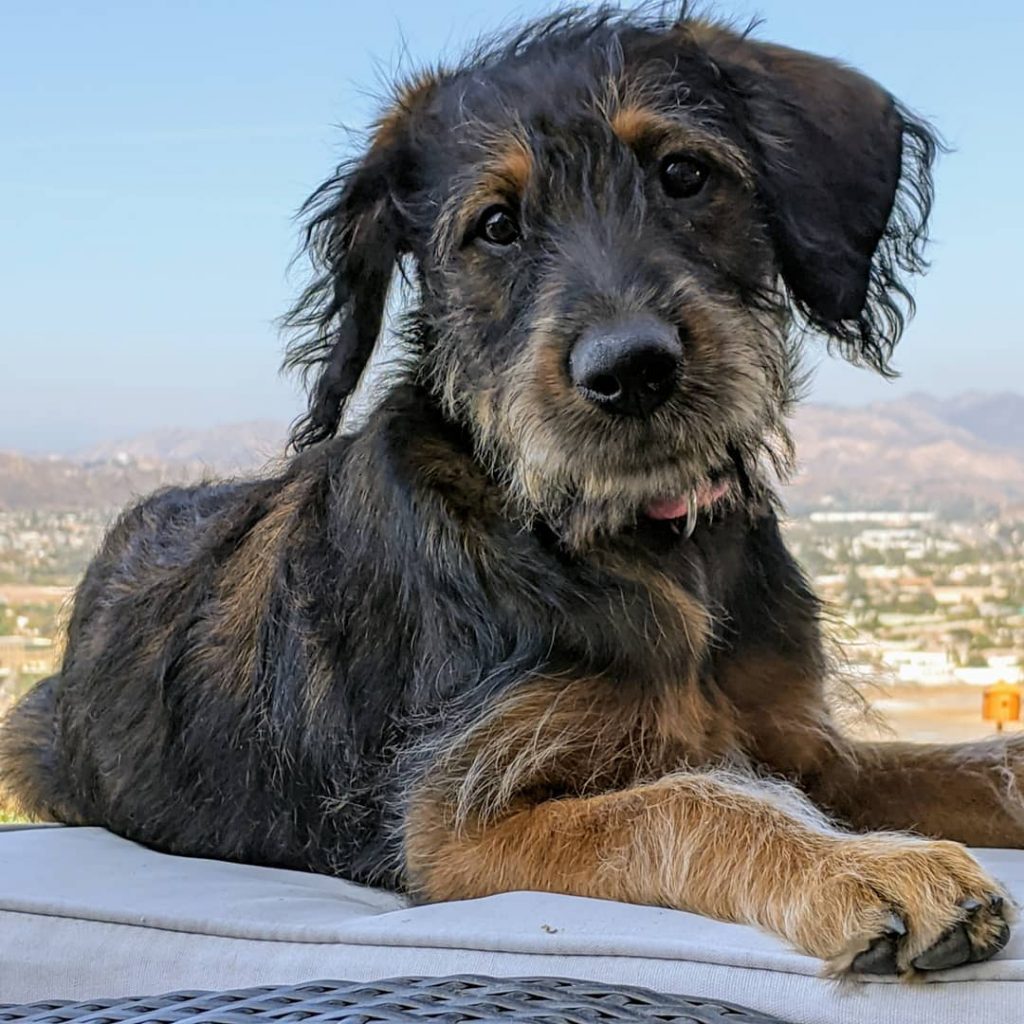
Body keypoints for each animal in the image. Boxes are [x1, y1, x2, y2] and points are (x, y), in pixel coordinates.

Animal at [2, 4, 1024, 983]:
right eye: (496, 225)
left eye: (684, 173)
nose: (631, 370)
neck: (632, 541)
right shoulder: (460, 826)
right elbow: (695, 803)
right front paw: (864, 866)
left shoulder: (805, 748)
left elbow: (980, 762)